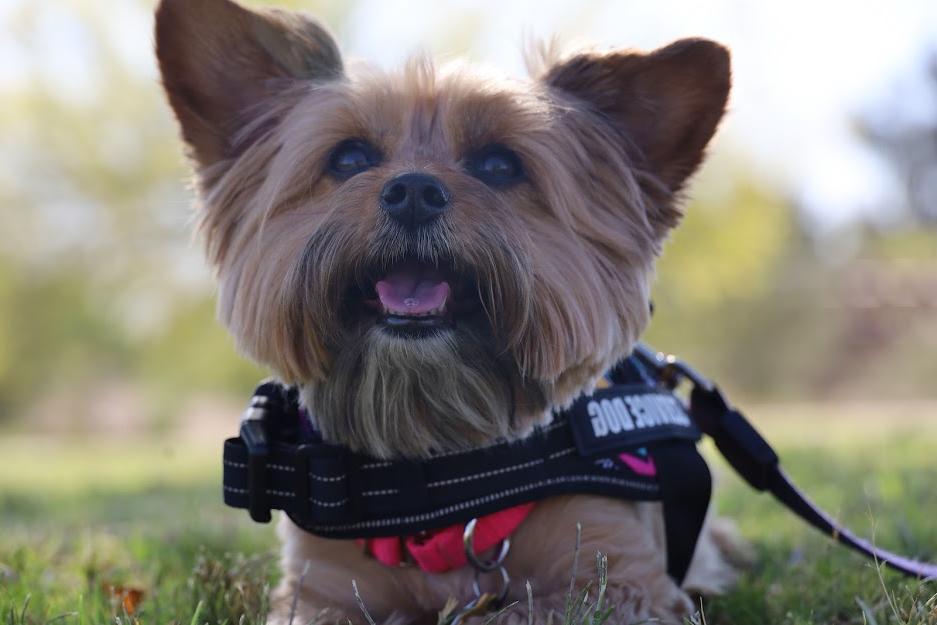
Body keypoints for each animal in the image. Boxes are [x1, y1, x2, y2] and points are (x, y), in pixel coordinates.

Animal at [157, 2, 748, 620]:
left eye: (500, 165)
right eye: (349, 157)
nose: (414, 191)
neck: (439, 482)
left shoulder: (617, 580)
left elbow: (530, 608)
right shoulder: (319, 591)